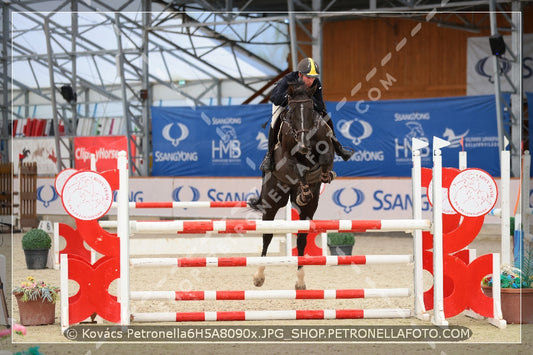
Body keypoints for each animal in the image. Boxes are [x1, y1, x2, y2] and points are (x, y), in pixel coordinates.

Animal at [247, 78, 334, 290]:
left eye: (311, 111)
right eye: (292, 112)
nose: (303, 146)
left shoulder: (325, 145)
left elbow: (325, 156)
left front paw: (323, 175)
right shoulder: (288, 160)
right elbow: (298, 168)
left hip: (309, 210)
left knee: (301, 238)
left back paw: (300, 280)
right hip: (272, 199)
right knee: (267, 235)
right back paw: (259, 276)